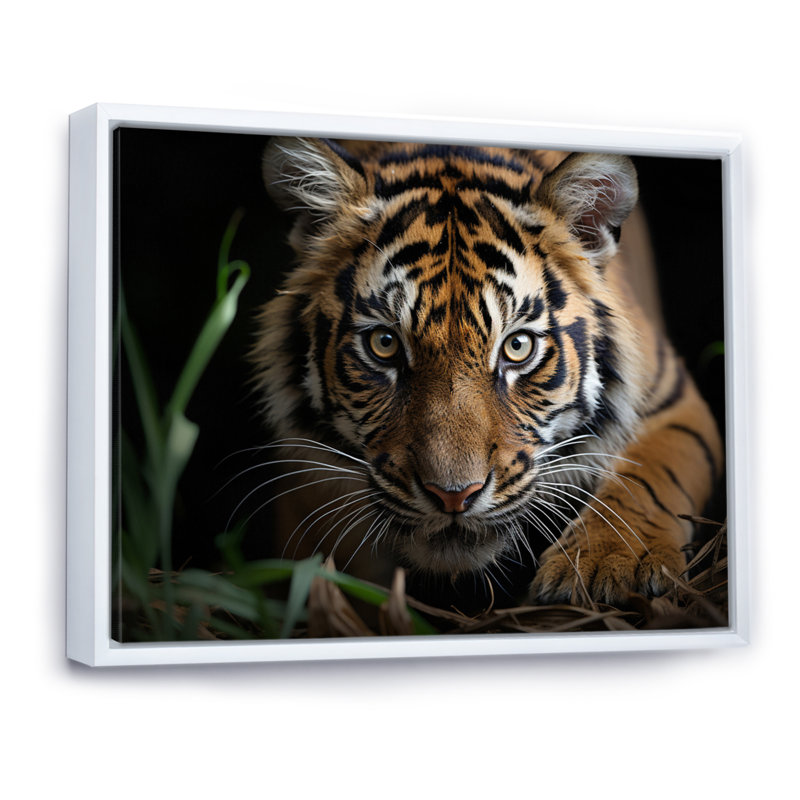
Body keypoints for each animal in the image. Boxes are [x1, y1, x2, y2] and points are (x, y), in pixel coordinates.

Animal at [250, 137, 723, 612]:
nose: (453, 495)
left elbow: (647, 478)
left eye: (517, 346)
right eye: (384, 344)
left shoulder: (672, 400)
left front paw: (611, 563)